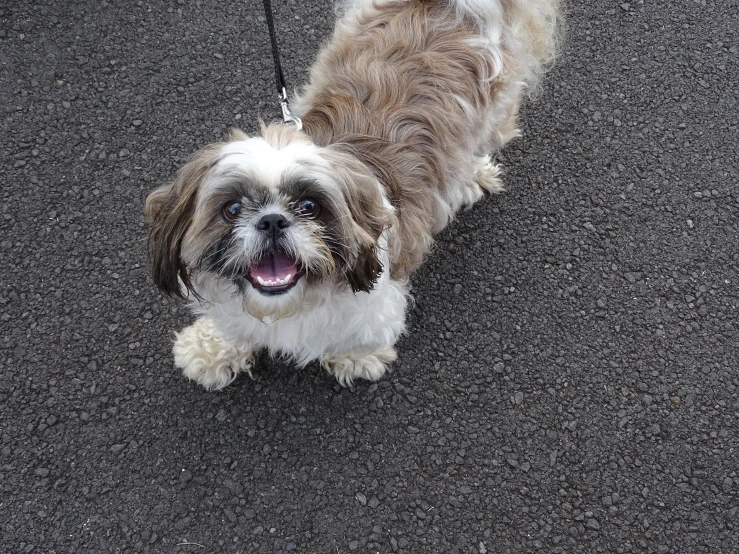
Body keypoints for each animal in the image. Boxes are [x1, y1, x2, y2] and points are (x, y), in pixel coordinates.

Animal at [143, 0, 560, 388]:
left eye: (309, 206)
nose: (272, 220)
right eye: (231, 209)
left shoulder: (374, 302)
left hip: (496, 113)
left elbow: (359, 336)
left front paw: (355, 359)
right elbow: (233, 326)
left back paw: (472, 176)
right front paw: (212, 349)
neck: (291, 304)